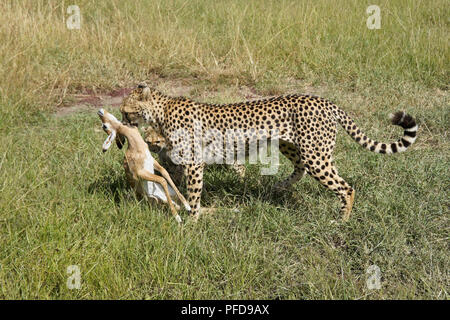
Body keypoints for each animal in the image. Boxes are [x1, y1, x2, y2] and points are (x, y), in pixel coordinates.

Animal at [119, 82, 418, 221]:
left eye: (125, 110)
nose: (122, 123)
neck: (161, 111)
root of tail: (324, 101)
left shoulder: (194, 163)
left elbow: (193, 193)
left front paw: (192, 220)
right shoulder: (183, 161)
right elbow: (176, 181)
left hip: (316, 155)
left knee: (345, 187)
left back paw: (341, 221)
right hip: (294, 146)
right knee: (300, 168)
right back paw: (279, 186)